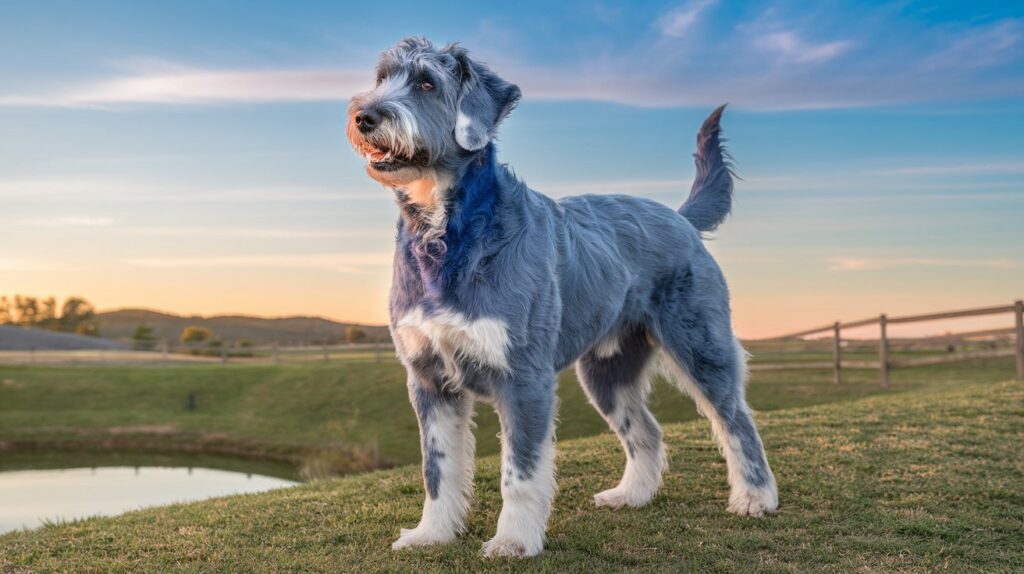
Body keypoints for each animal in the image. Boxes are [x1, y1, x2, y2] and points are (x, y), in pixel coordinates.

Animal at [344, 35, 774, 556]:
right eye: (383, 77)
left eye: (427, 83)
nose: (364, 115)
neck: (445, 232)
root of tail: (680, 217)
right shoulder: (428, 380)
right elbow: (437, 468)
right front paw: (432, 534)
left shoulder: (524, 379)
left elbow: (520, 473)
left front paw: (512, 541)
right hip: (607, 372)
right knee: (645, 431)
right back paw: (632, 495)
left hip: (702, 348)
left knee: (737, 420)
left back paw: (755, 498)